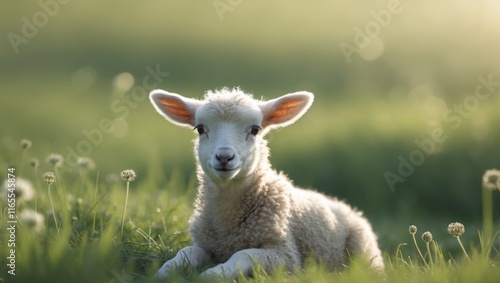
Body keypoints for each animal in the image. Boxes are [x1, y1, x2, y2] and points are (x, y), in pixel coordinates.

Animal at [148, 87, 382, 280]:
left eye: (255, 130)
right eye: (199, 129)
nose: (224, 157)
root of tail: (343, 204)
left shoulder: (285, 254)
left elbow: (245, 255)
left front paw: (215, 273)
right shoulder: (206, 245)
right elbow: (187, 253)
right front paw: (165, 271)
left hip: (362, 251)